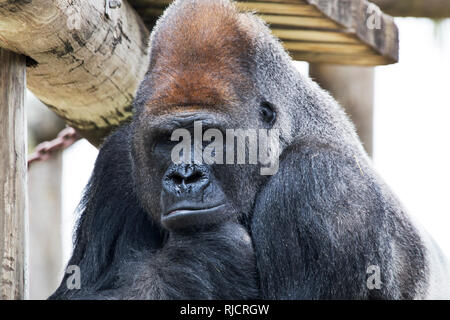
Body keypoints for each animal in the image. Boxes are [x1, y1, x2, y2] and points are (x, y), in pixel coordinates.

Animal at [50, 0, 450, 300]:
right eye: (169, 140)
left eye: (210, 138)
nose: (184, 177)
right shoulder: (118, 159)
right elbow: (75, 292)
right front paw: (197, 264)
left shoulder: (320, 188)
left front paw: (200, 262)